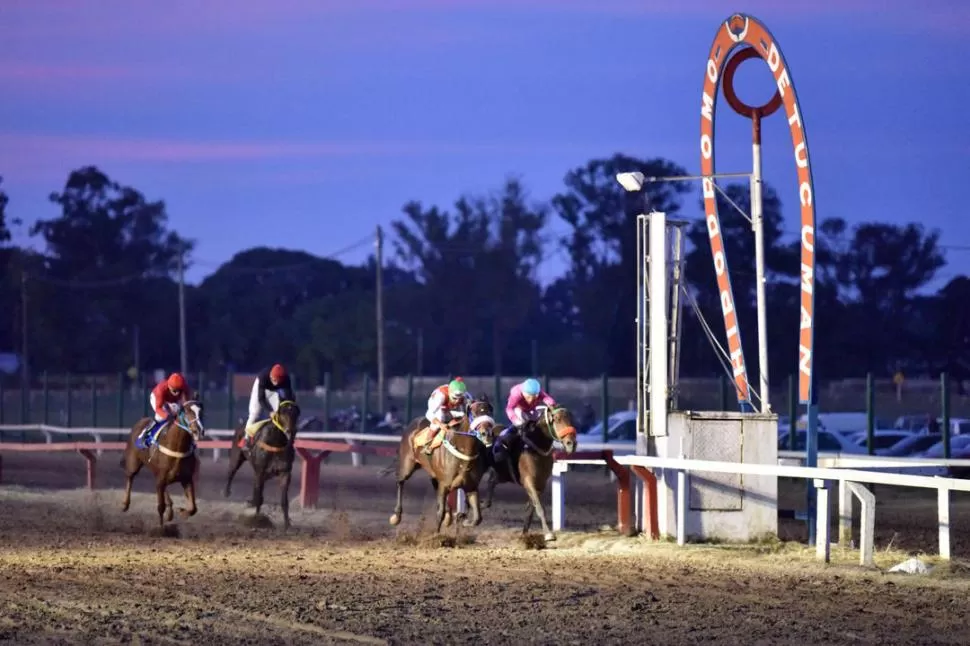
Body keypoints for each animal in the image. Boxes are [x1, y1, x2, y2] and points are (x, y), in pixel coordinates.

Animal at [121, 400, 206, 532]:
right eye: (187, 411)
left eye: (200, 412)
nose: (199, 430)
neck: (177, 448)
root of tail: (141, 421)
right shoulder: (161, 478)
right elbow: (160, 506)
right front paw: (160, 528)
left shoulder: (187, 479)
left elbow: (193, 508)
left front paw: (182, 512)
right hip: (133, 463)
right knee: (130, 476)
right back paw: (125, 504)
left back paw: (170, 510)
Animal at [223, 400, 298, 532]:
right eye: (283, 413)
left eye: (295, 413)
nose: (291, 430)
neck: (275, 443)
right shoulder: (260, 471)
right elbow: (259, 498)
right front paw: (256, 521)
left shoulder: (285, 472)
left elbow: (284, 500)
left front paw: (287, 525)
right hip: (236, 457)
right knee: (231, 472)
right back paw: (227, 492)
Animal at [384, 398, 496, 536]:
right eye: (474, 414)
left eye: (490, 411)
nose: (486, 434)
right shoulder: (445, 483)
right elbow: (440, 513)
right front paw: (435, 536)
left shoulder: (471, 486)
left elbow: (477, 518)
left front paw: (463, 519)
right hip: (407, 465)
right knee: (400, 481)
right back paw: (397, 516)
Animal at [482, 408, 576, 544]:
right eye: (557, 419)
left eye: (571, 419)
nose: (571, 444)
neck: (535, 447)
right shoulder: (528, 481)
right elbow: (539, 508)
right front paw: (548, 534)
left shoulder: (541, 483)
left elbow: (532, 508)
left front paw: (524, 535)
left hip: (503, 474)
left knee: (491, 481)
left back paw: (484, 504)